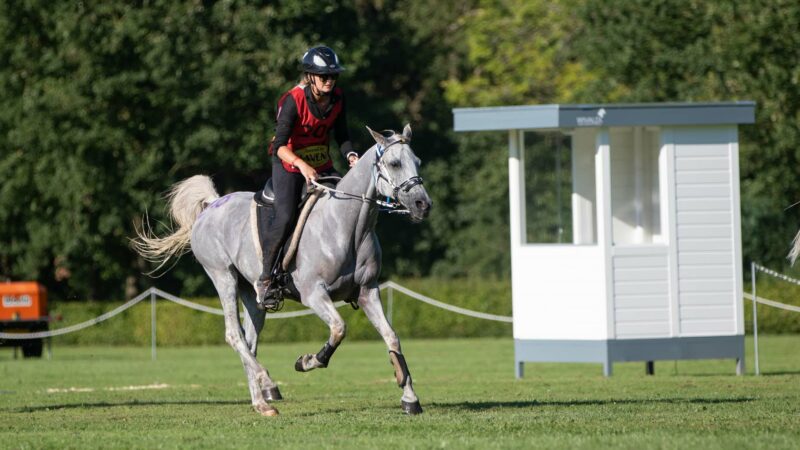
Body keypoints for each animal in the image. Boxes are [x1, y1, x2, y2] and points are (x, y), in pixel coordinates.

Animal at [131, 125, 432, 416]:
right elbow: (339, 328)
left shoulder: (368, 291)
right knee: (233, 335)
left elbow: (392, 338)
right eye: (394, 163)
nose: (423, 205)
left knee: (249, 340)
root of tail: (211, 205)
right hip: (222, 276)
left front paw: (410, 397)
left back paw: (262, 403)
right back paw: (268, 382)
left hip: (252, 294)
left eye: (417, 161)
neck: (347, 227)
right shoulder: (314, 294)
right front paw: (307, 361)